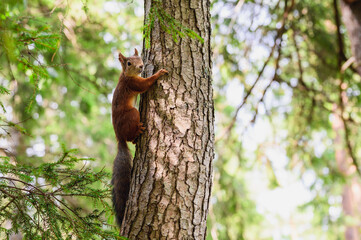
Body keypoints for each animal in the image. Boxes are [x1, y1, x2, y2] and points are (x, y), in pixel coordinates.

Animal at [111, 48, 167, 227]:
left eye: (140, 58)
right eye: (129, 63)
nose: (142, 66)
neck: (126, 75)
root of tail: (119, 137)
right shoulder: (133, 84)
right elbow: (146, 84)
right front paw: (158, 73)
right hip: (132, 114)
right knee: (131, 135)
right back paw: (138, 132)